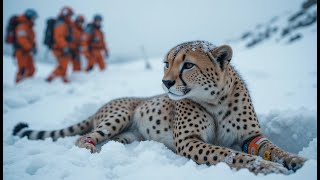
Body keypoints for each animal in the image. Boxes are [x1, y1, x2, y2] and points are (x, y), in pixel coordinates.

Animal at [13, 40, 306, 174]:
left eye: (187, 65)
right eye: (167, 63)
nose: (165, 82)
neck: (215, 99)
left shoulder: (251, 137)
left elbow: (274, 149)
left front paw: (297, 161)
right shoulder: (188, 141)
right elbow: (229, 154)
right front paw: (267, 168)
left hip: (130, 135)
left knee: (114, 140)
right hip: (118, 116)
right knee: (85, 138)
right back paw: (89, 149)